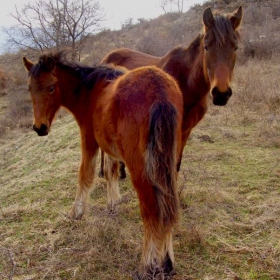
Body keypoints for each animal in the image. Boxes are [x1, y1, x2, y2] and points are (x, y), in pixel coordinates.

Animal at [21, 52, 184, 278]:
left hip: (141, 169)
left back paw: (149, 264)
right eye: (29, 88)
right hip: (168, 164)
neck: (91, 92)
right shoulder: (110, 148)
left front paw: (76, 213)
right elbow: (110, 172)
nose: (39, 128)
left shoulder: (89, 138)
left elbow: (85, 175)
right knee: (168, 205)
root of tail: (159, 90)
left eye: (51, 87)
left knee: (152, 210)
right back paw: (167, 262)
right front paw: (113, 203)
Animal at [99, 6, 243, 179]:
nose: (221, 94)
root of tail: (107, 57)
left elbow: (176, 165)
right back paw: (102, 171)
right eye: (206, 46)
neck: (184, 86)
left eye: (235, 47)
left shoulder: (185, 130)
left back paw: (121, 170)